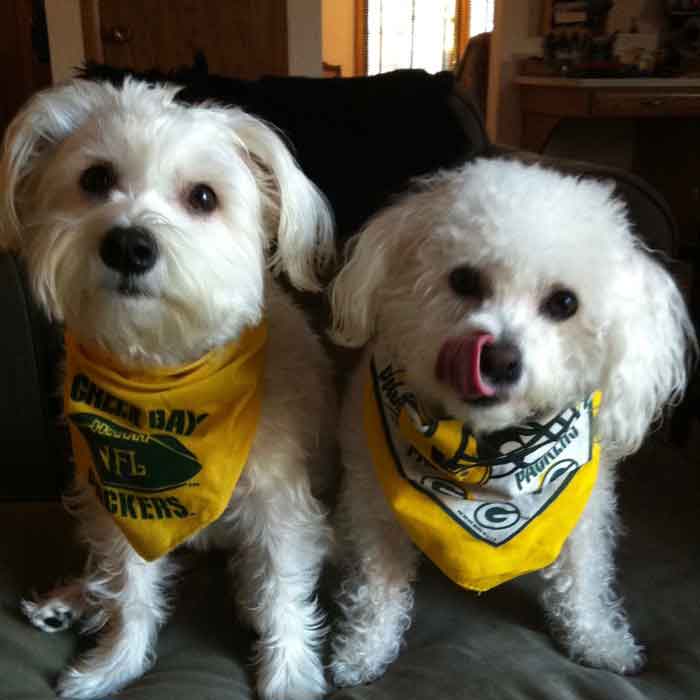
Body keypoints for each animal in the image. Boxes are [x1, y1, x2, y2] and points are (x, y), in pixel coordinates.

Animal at [0, 77, 336, 700]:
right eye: (95, 179)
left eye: (204, 197)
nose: (129, 245)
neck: (161, 374)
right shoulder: (117, 502)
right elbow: (130, 593)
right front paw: (115, 664)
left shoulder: (278, 503)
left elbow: (282, 591)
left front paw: (289, 673)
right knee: (106, 572)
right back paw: (75, 599)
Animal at [327, 157, 696, 686]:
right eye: (463, 280)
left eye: (564, 303)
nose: (499, 359)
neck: (488, 444)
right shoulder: (374, 506)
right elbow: (376, 588)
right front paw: (363, 649)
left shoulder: (584, 507)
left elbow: (582, 578)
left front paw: (597, 639)